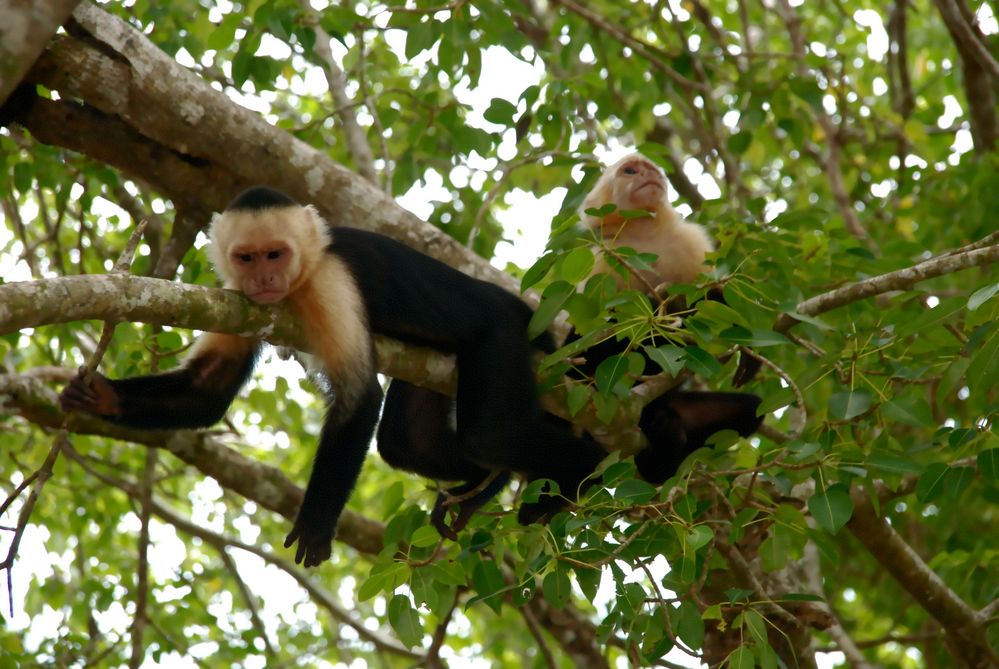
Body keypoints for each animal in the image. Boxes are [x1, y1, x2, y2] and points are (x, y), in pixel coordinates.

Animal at [66, 187, 608, 564]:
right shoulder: (236, 298)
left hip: (503, 333)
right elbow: (208, 391)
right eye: (247, 257)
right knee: (406, 441)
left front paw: (315, 523)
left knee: (489, 432)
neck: (301, 277)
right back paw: (484, 484)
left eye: (276, 254)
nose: (265, 279)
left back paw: (584, 470)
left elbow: (359, 397)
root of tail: (527, 315)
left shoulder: (330, 282)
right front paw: (100, 397)